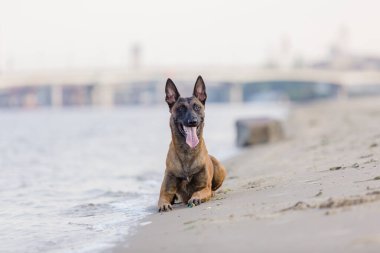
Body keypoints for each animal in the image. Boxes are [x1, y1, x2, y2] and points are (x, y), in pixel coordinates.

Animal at [157, 75, 226, 211]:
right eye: (180, 109)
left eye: (197, 107)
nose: (192, 121)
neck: (187, 152)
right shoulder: (166, 191)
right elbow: (162, 198)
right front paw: (164, 205)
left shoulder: (204, 187)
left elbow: (199, 192)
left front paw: (196, 198)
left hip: (220, 168)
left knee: (214, 188)